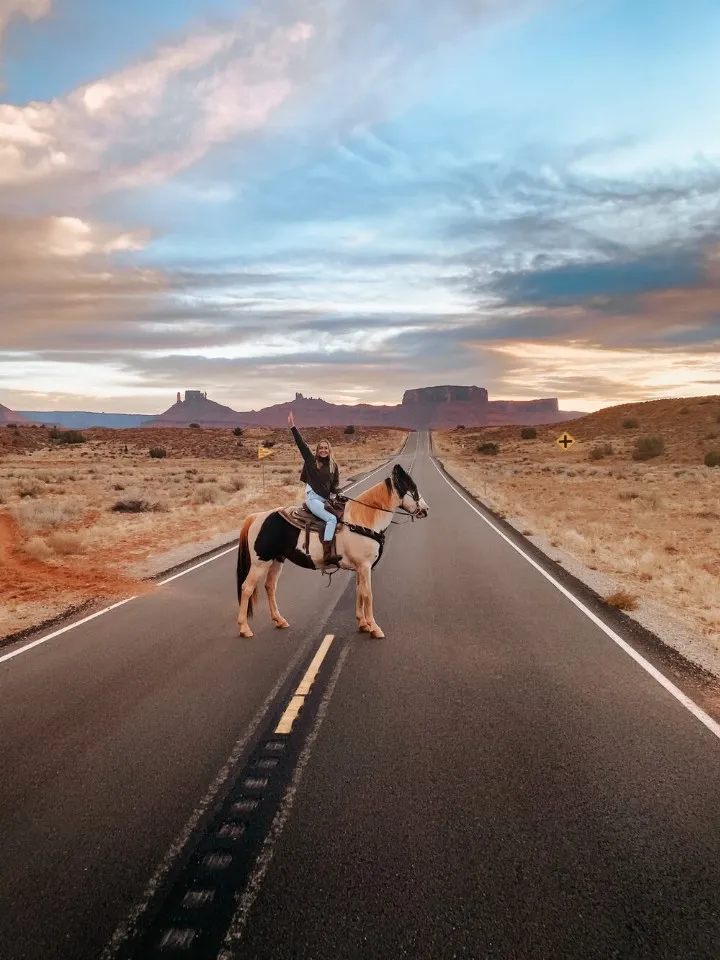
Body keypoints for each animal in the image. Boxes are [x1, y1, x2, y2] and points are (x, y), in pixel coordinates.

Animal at [236, 464, 428, 636]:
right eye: (413, 489)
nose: (425, 510)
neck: (361, 521)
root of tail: (256, 517)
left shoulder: (359, 568)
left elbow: (359, 592)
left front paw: (363, 624)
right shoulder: (365, 566)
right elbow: (368, 594)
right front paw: (374, 628)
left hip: (276, 560)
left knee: (270, 587)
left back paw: (279, 620)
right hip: (260, 563)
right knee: (247, 588)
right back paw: (244, 628)